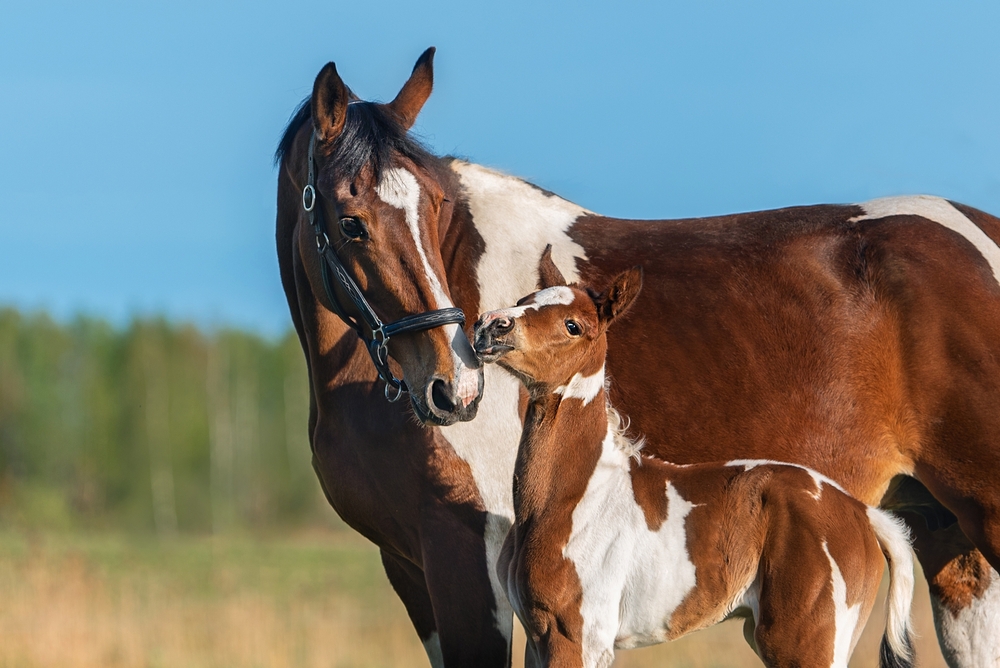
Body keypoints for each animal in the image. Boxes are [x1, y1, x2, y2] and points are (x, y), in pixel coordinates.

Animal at [473, 259, 915, 668]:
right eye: (525, 300)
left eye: (573, 325)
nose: (491, 326)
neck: (573, 497)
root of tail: (862, 513)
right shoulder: (536, 640)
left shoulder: (575, 639)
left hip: (804, 646)